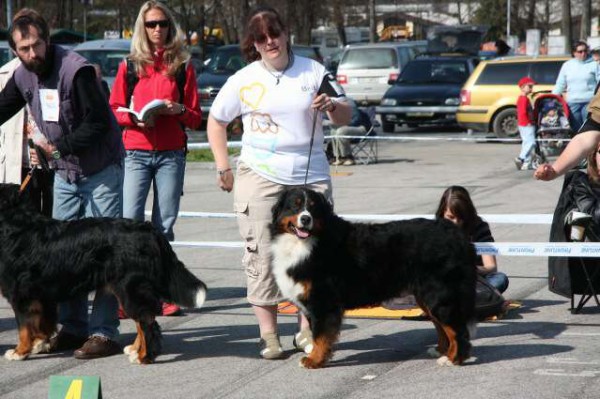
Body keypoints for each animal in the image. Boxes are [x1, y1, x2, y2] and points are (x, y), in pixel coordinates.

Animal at [0, 184, 207, 366]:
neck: (15, 227)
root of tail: (149, 229)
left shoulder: (22, 295)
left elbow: (24, 327)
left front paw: (19, 351)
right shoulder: (42, 296)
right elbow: (42, 323)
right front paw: (39, 344)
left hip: (131, 288)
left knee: (147, 322)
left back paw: (143, 357)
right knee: (144, 321)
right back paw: (134, 349)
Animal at [270, 189, 476, 370]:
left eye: (313, 208)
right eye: (294, 206)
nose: (306, 219)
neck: (307, 243)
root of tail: (456, 234)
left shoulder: (323, 303)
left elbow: (320, 336)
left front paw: (314, 360)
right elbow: (318, 335)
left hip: (438, 294)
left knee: (457, 329)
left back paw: (453, 359)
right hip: (425, 296)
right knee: (441, 325)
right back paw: (441, 351)